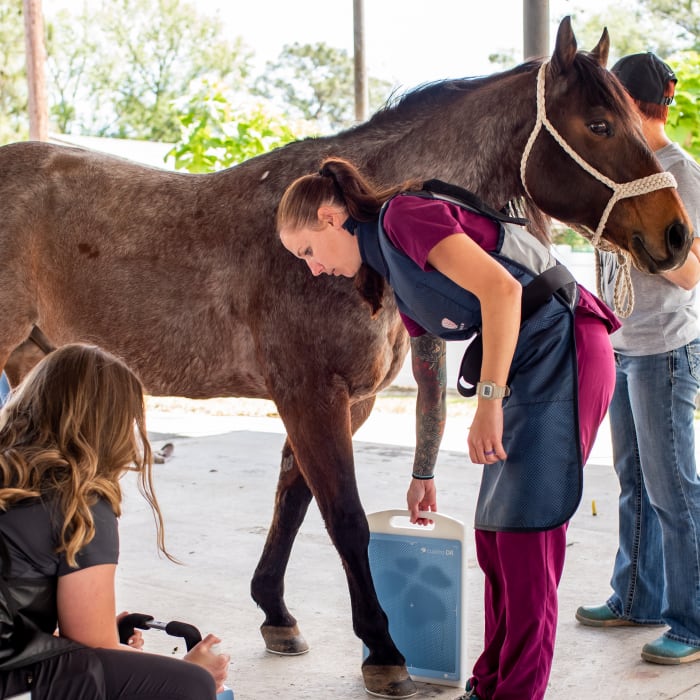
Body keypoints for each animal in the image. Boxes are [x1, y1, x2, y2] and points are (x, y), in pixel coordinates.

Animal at [0, 16, 692, 700]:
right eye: (599, 125)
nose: (677, 235)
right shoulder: (310, 395)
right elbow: (344, 517)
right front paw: (383, 651)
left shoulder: (349, 401)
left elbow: (294, 499)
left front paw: (276, 614)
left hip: (31, 362)